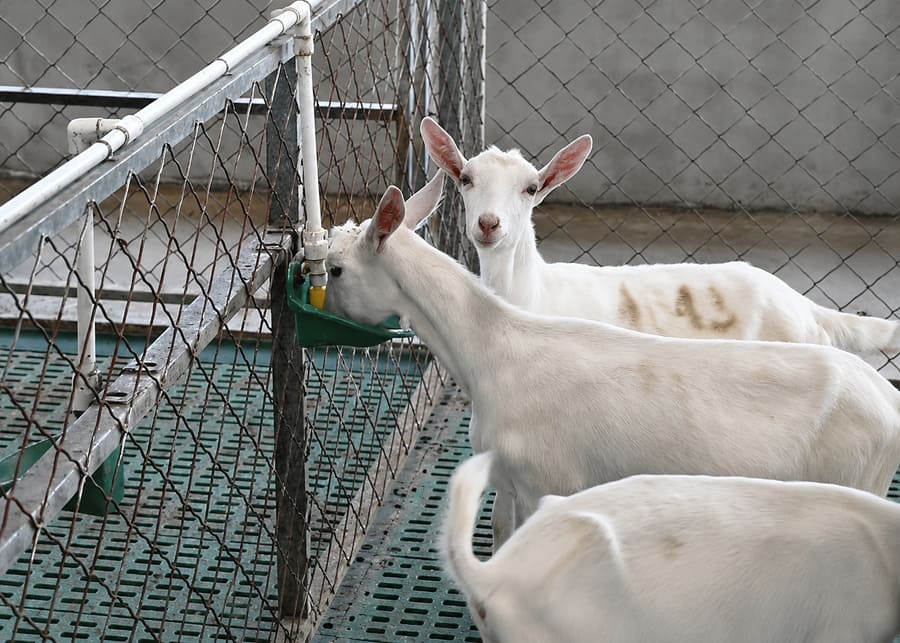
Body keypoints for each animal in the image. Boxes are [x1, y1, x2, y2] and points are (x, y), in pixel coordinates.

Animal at [324, 177, 900, 547]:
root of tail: (886, 399)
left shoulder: (548, 480)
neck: (494, 352)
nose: (322, 311)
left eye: (333, 269)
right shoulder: (512, 480)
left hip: (853, 477)